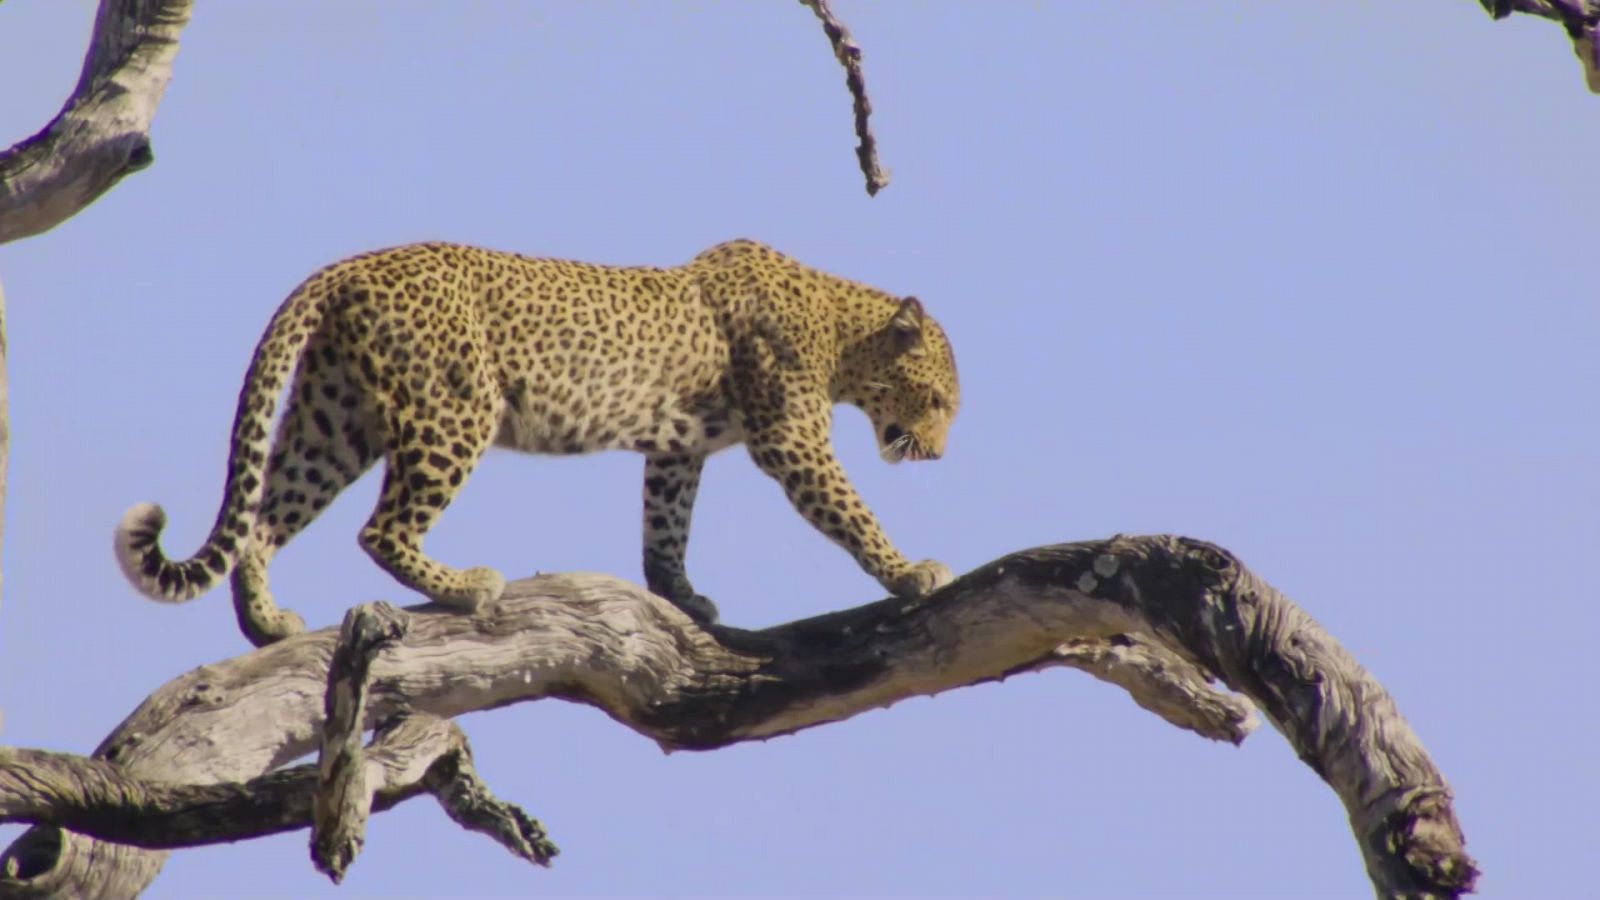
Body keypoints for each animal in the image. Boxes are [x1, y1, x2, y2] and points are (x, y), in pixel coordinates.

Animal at [118, 238, 960, 643]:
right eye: (940, 400)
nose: (940, 452)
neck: (842, 332)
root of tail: (347, 267)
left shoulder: (678, 448)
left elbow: (665, 525)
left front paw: (678, 593)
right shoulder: (792, 439)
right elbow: (852, 513)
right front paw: (910, 572)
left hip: (333, 423)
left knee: (263, 523)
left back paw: (266, 624)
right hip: (454, 409)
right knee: (381, 529)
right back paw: (465, 587)